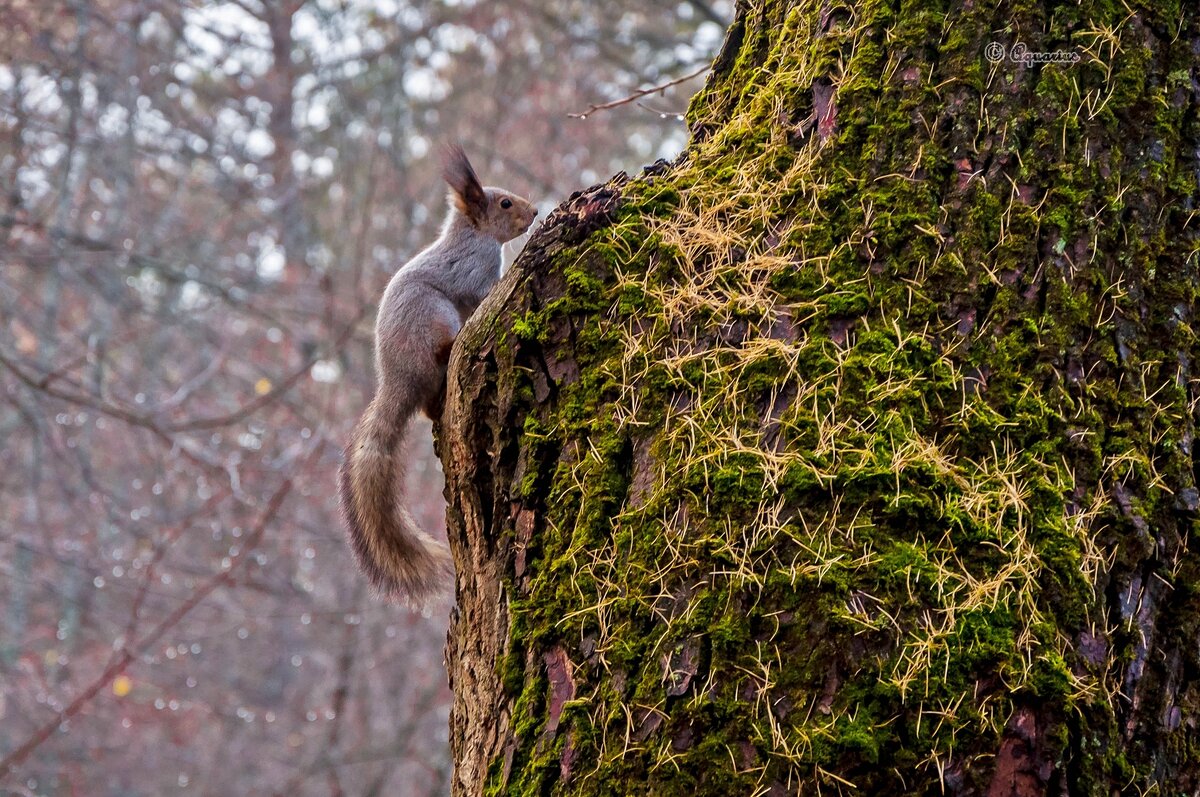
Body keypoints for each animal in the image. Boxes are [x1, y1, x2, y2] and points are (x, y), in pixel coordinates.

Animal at [343, 146, 540, 600]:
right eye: (505, 203)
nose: (536, 212)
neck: (474, 235)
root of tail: (398, 383)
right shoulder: (472, 269)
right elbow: (480, 291)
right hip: (432, 318)